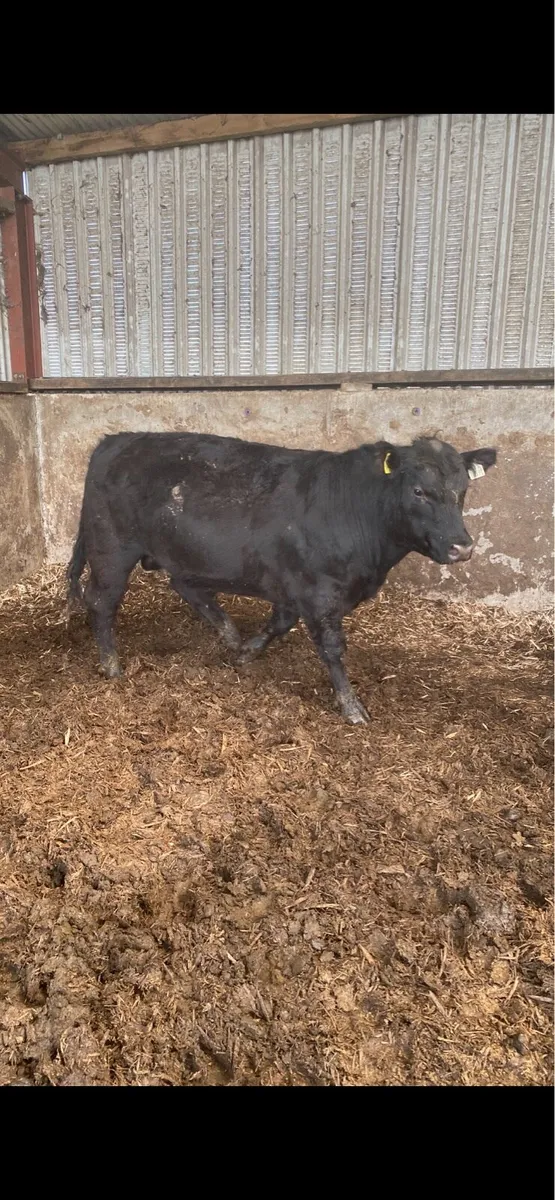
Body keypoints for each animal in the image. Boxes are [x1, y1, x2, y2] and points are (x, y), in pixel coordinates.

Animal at [67, 432, 496, 724]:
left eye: (462, 490)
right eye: (419, 491)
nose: (462, 548)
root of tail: (115, 440)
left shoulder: (293, 588)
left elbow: (278, 623)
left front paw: (246, 651)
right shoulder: (320, 593)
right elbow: (332, 649)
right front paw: (351, 706)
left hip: (183, 555)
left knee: (185, 586)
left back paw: (229, 633)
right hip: (112, 551)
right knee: (101, 603)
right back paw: (111, 665)